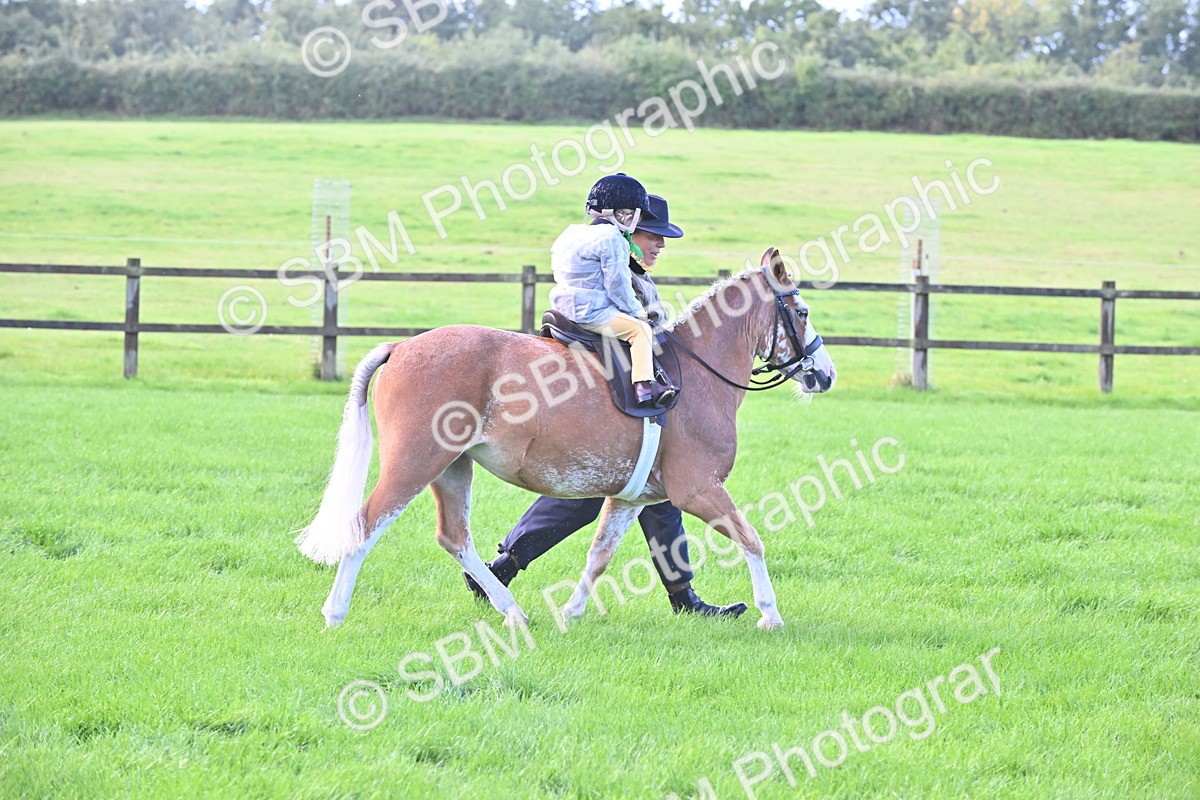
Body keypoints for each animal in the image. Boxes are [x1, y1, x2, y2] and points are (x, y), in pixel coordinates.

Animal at [295, 248, 837, 631]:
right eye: (803, 312)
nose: (825, 375)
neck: (698, 373)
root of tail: (403, 346)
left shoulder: (632, 497)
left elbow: (599, 556)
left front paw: (572, 613)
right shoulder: (698, 489)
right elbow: (752, 540)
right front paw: (770, 613)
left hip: (452, 468)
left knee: (455, 538)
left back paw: (511, 610)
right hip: (415, 463)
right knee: (366, 524)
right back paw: (335, 613)